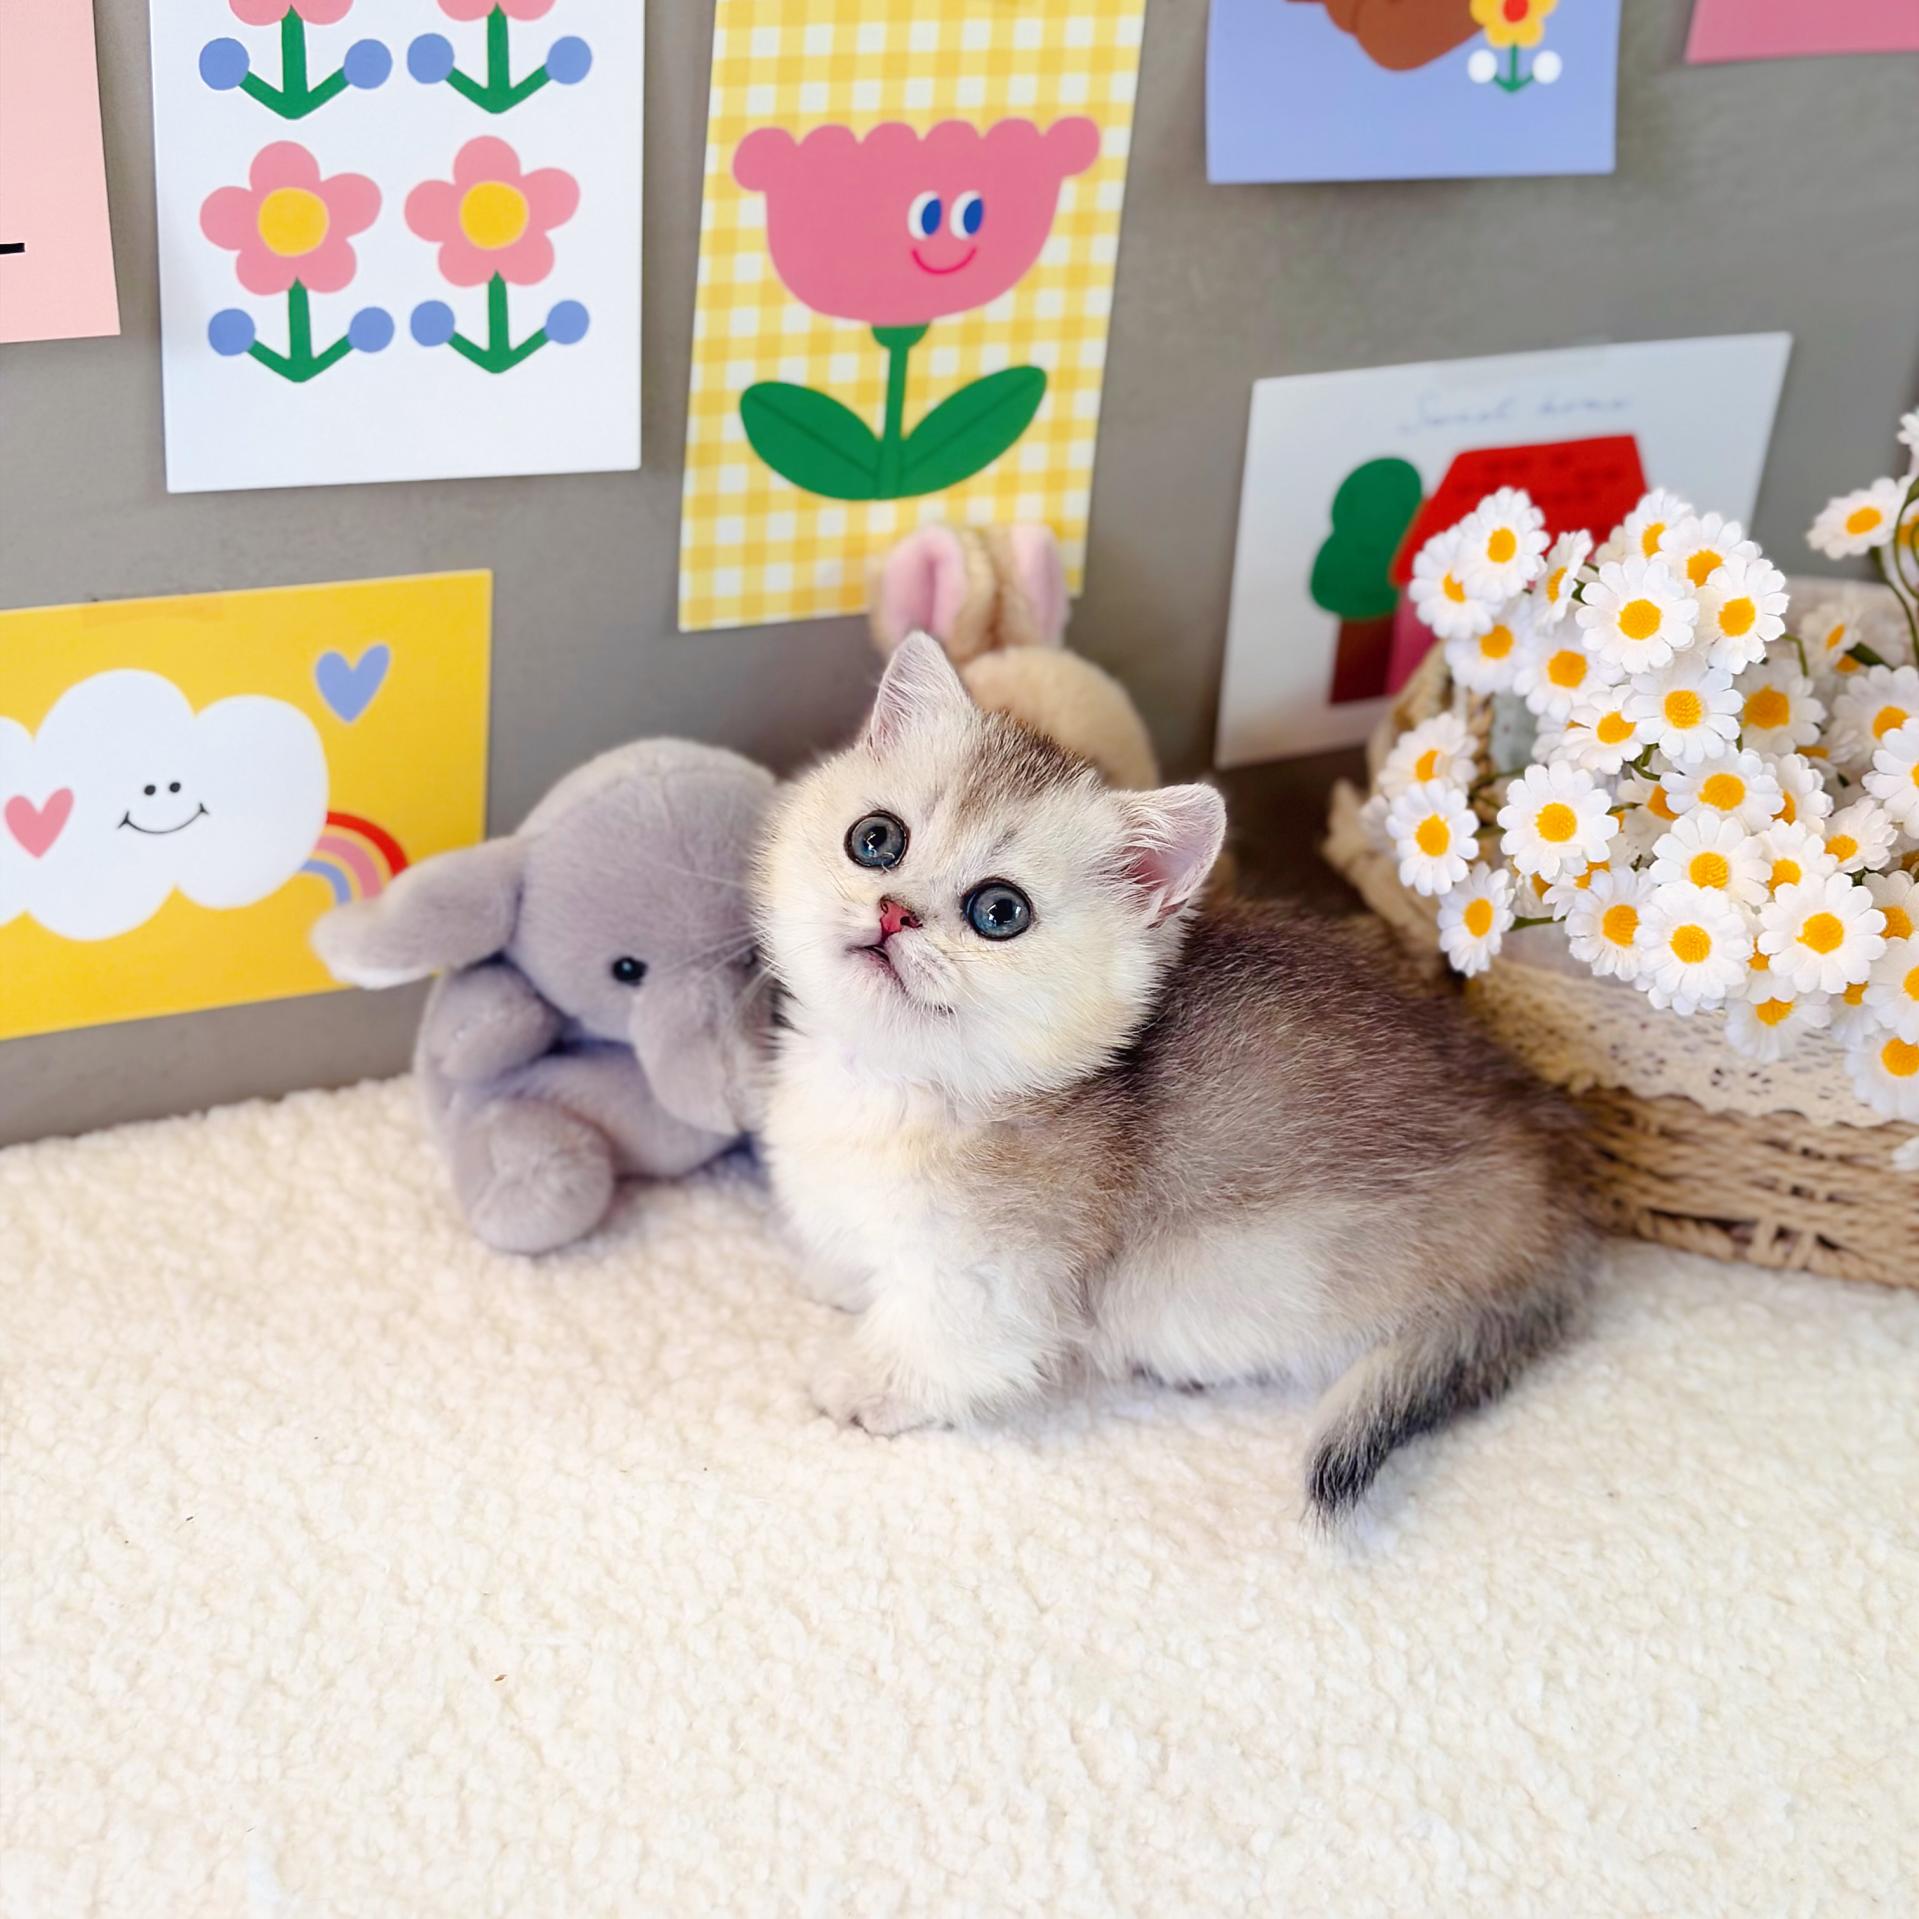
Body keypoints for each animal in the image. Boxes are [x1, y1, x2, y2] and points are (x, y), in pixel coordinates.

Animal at [754, 633, 1589, 1521]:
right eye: (876, 838)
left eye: (999, 912)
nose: (894, 911)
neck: (890, 1082)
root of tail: (1559, 1207)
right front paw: (838, 1280)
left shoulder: (992, 1278)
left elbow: (939, 1342)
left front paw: (858, 1383)